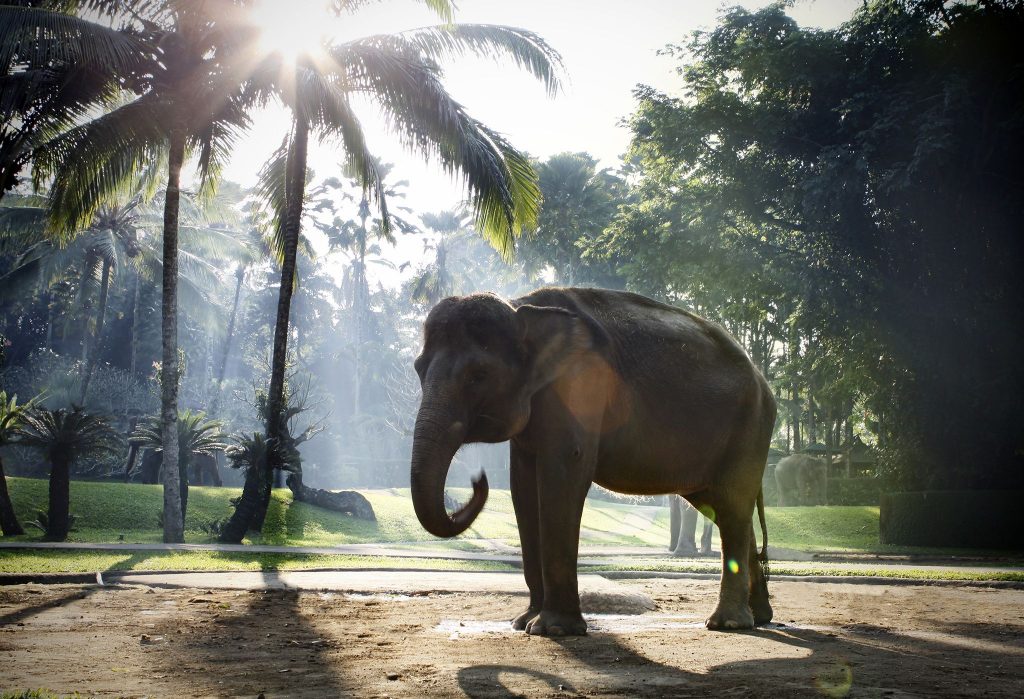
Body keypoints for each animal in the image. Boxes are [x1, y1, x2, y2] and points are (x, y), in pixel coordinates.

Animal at [409, 287, 777, 635]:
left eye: (479, 374)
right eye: (418, 369)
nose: (478, 479)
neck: (522, 307)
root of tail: (762, 379)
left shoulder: (580, 386)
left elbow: (564, 472)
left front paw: (552, 629)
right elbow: (522, 487)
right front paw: (523, 622)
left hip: (750, 429)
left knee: (732, 507)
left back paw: (728, 623)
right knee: (726, 510)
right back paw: (759, 618)